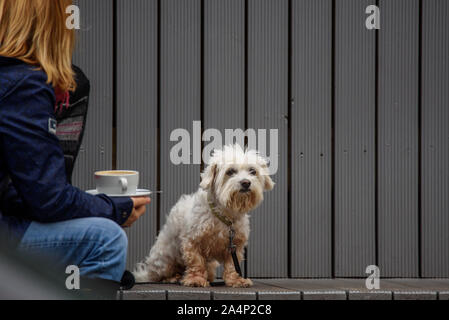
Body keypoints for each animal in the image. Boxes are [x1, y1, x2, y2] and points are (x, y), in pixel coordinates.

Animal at [133, 145, 272, 288]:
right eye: (230, 171)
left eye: (252, 171)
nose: (246, 182)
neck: (224, 215)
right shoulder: (192, 241)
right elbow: (196, 262)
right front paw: (196, 279)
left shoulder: (235, 245)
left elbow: (232, 265)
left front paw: (236, 280)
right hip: (165, 259)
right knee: (159, 275)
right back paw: (173, 278)